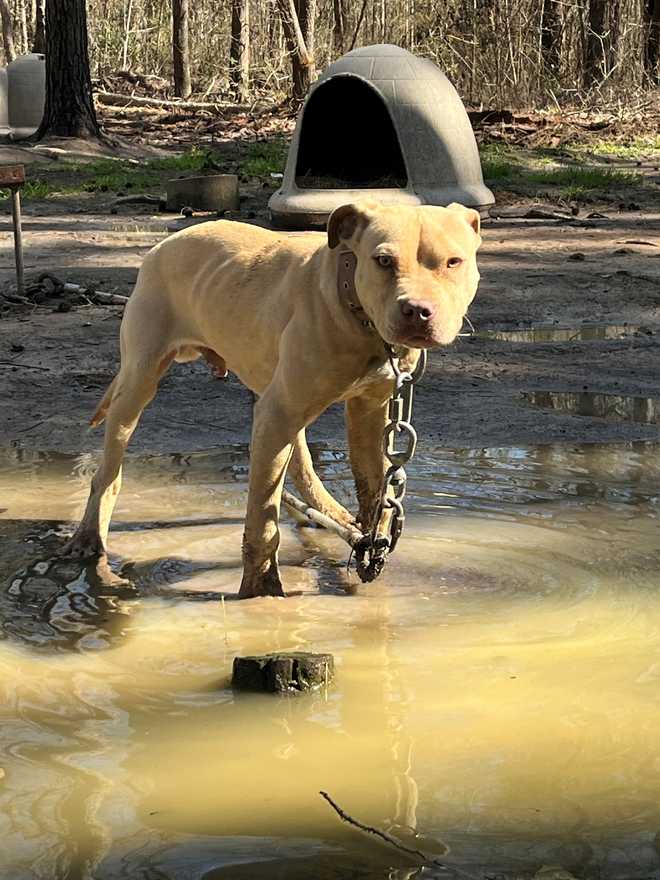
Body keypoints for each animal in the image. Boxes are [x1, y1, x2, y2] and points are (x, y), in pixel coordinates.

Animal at [63, 200, 480, 600]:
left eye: (453, 262)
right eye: (384, 261)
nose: (417, 311)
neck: (355, 309)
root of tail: (164, 243)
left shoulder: (369, 410)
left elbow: (373, 482)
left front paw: (371, 539)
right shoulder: (281, 411)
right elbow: (263, 520)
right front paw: (261, 591)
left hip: (270, 392)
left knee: (301, 464)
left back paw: (333, 516)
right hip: (141, 381)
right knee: (108, 472)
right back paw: (89, 539)